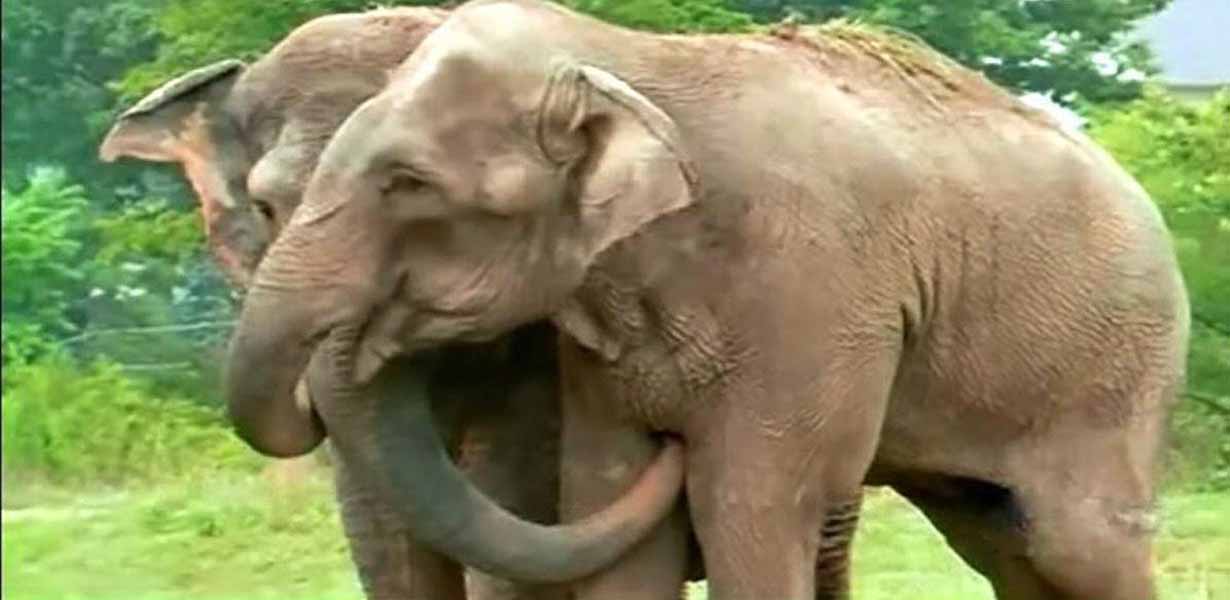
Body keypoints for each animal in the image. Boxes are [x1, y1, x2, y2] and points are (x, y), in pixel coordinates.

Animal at [223, 1, 1190, 599]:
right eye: (263, 208)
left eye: (409, 185)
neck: (624, 60)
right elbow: (611, 509)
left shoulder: (809, 296)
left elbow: (751, 511)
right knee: (1006, 546)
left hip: (1108, 370)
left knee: (1078, 545)